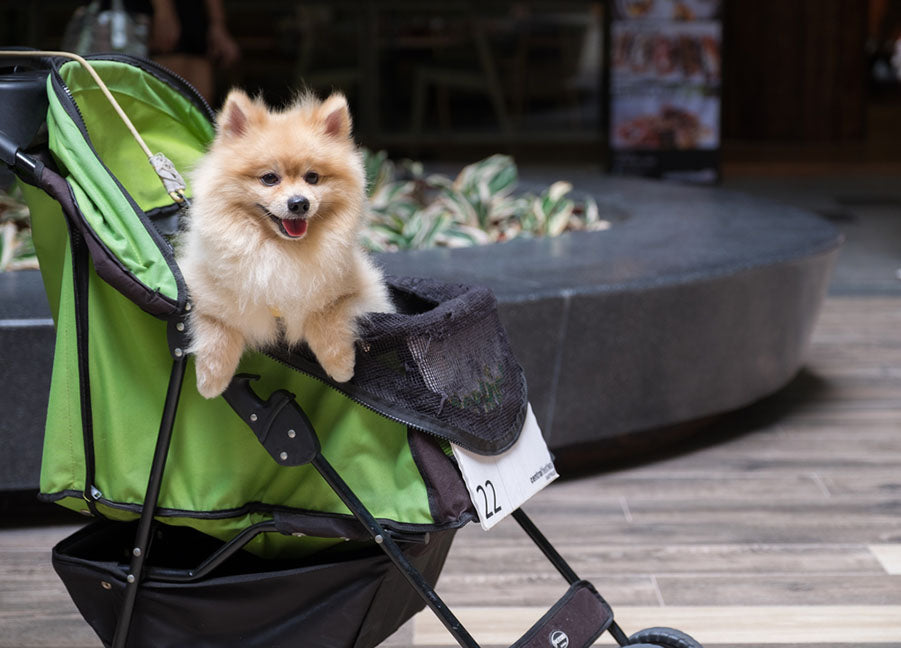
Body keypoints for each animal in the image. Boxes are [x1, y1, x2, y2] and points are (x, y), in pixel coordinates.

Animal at [180, 88, 394, 398]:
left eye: (312, 177)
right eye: (269, 178)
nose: (299, 203)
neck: (282, 251)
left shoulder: (360, 291)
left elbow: (325, 313)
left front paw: (340, 366)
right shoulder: (201, 288)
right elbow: (217, 325)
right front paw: (211, 379)